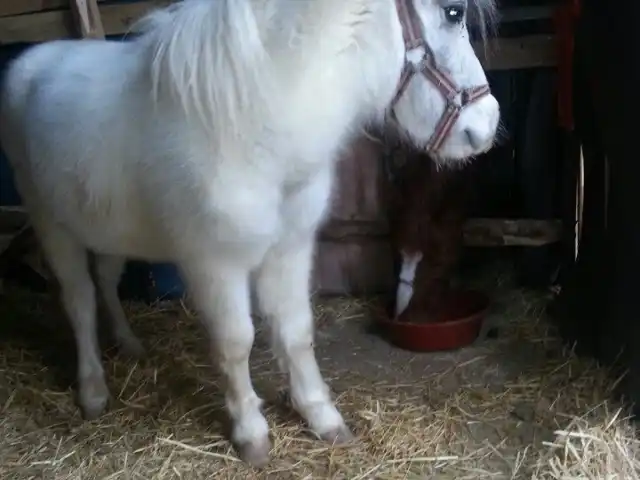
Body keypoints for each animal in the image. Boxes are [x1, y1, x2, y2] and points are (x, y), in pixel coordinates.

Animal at [0, 0, 500, 466]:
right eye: (453, 12)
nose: (487, 126)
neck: (257, 121)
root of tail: (29, 62)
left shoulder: (290, 248)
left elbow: (296, 331)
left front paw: (321, 416)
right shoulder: (214, 263)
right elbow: (236, 343)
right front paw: (251, 432)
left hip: (106, 228)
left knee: (106, 282)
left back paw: (129, 345)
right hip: (52, 224)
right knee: (80, 302)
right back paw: (93, 391)